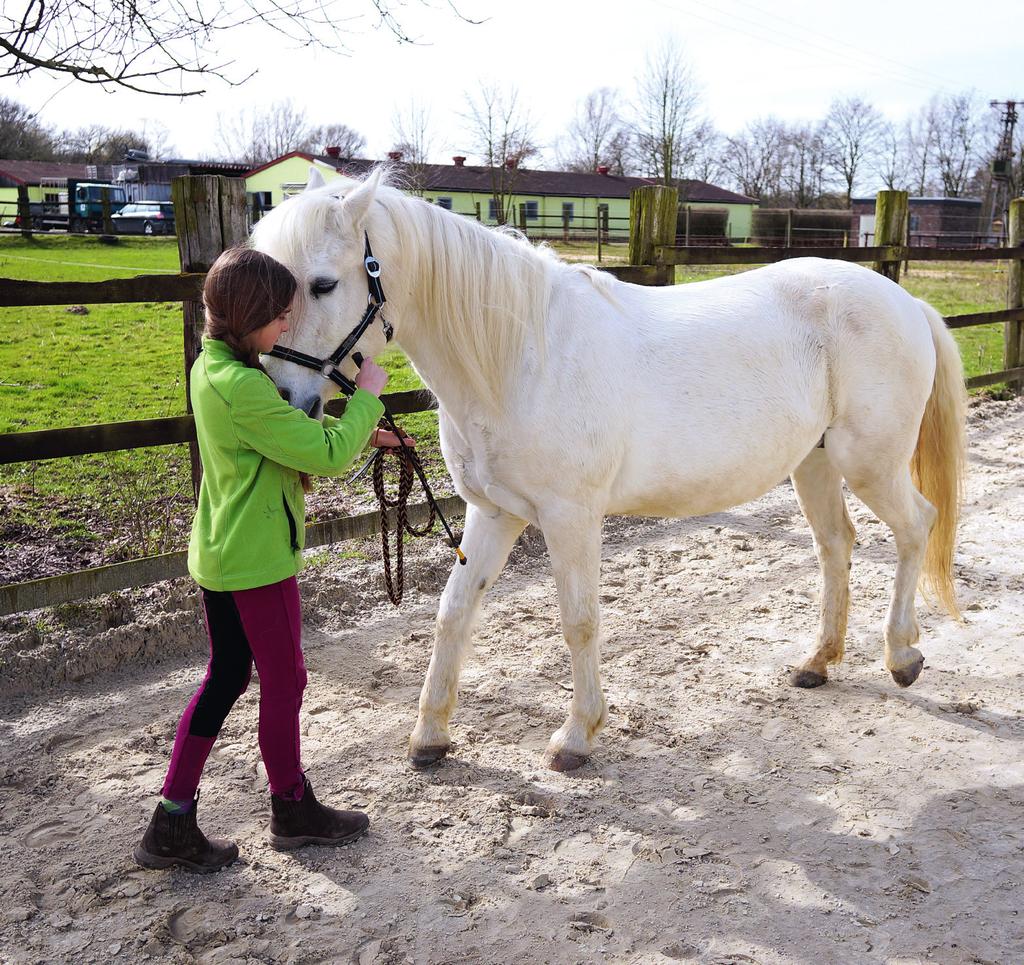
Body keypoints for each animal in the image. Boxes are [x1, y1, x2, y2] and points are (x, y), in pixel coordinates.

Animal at [253, 165, 966, 770]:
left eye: (322, 283)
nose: (281, 398)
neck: (521, 356)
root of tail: (905, 301)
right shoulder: (495, 513)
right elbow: (454, 614)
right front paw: (429, 736)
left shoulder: (571, 518)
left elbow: (579, 620)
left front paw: (576, 737)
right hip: (814, 464)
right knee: (837, 544)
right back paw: (819, 661)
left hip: (870, 462)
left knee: (915, 527)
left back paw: (902, 655)